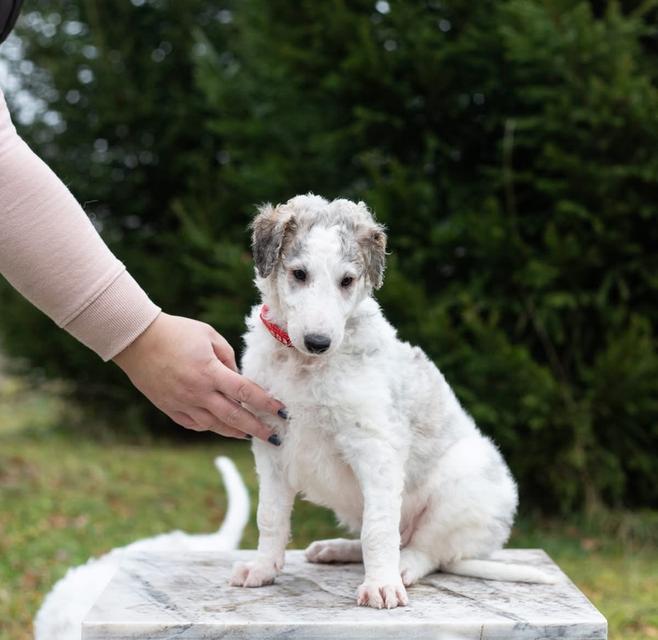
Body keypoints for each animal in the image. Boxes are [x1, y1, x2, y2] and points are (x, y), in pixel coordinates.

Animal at [229, 192, 548, 608]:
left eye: (347, 280)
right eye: (299, 274)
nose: (318, 342)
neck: (305, 364)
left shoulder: (374, 446)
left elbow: (378, 529)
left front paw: (381, 585)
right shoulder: (271, 442)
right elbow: (270, 516)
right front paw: (263, 568)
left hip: (461, 488)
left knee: (426, 549)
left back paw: (401, 568)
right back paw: (336, 549)